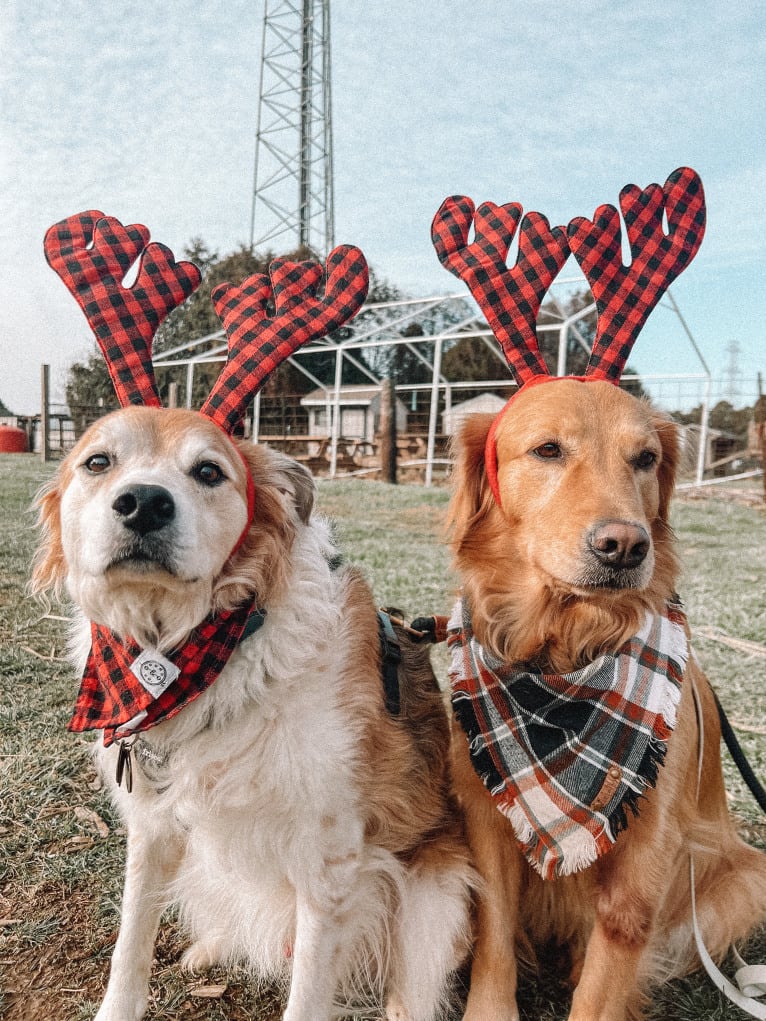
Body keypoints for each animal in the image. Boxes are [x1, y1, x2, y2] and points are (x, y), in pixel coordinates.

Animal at [32, 406, 473, 1021]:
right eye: (98, 462)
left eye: (209, 471)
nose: (143, 502)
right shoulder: (151, 823)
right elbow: (131, 938)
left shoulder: (329, 859)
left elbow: (308, 990)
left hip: (437, 902)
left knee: (410, 991)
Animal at [447, 381, 766, 1021]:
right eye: (548, 450)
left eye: (645, 459)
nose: (624, 547)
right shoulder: (485, 811)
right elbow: (494, 928)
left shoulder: (646, 845)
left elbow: (606, 972)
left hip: (745, 883)